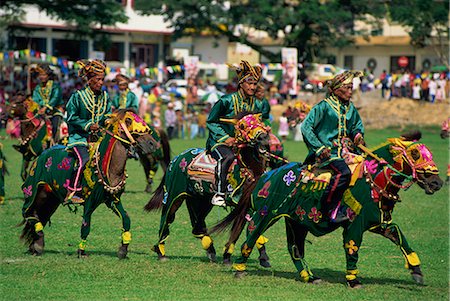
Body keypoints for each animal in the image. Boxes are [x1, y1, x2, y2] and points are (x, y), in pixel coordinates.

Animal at [19, 109, 158, 258]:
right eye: (128, 121)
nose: (152, 144)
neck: (107, 167)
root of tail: (41, 156)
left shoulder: (113, 199)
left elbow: (126, 219)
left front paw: (123, 249)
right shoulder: (89, 201)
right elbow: (86, 225)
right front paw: (81, 251)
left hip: (51, 198)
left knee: (38, 215)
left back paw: (36, 244)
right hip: (35, 192)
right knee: (28, 213)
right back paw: (38, 242)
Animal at [146, 111, 274, 264]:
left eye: (260, 121)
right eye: (242, 125)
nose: (263, 137)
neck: (247, 168)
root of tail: (176, 158)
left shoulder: (247, 205)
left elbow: (250, 229)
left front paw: (261, 256)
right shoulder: (241, 203)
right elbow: (240, 231)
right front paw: (228, 258)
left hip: (199, 200)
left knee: (197, 226)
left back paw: (210, 249)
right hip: (173, 197)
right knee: (167, 220)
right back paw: (161, 252)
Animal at [212, 131, 442, 286]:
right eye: (415, 153)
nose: (437, 183)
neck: (372, 181)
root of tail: (266, 175)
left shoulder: (379, 223)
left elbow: (400, 237)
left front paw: (416, 270)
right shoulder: (354, 226)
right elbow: (352, 248)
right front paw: (353, 280)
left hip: (296, 221)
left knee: (295, 249)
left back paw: (309, 277)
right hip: (265, 215)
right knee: (250, 238)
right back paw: (239, 268)